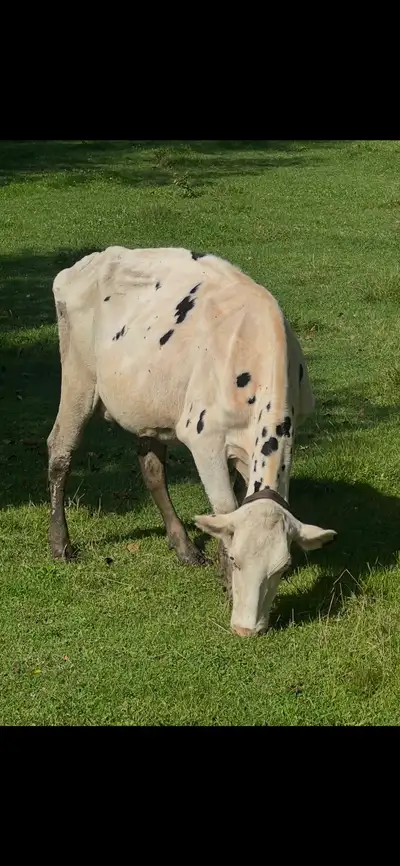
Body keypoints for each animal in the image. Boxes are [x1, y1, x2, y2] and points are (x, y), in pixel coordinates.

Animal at [47, 246, 336, 637]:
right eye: (237, 559)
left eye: (283, 568)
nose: (247, 628)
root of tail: (91, 259)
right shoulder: (205, 438)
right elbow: (225, 508)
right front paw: (227, 582)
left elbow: (236, 503)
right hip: (79, 376)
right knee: (60, 451)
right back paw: (60, 543)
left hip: (151, 401)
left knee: (152, 468)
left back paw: (183, 545)